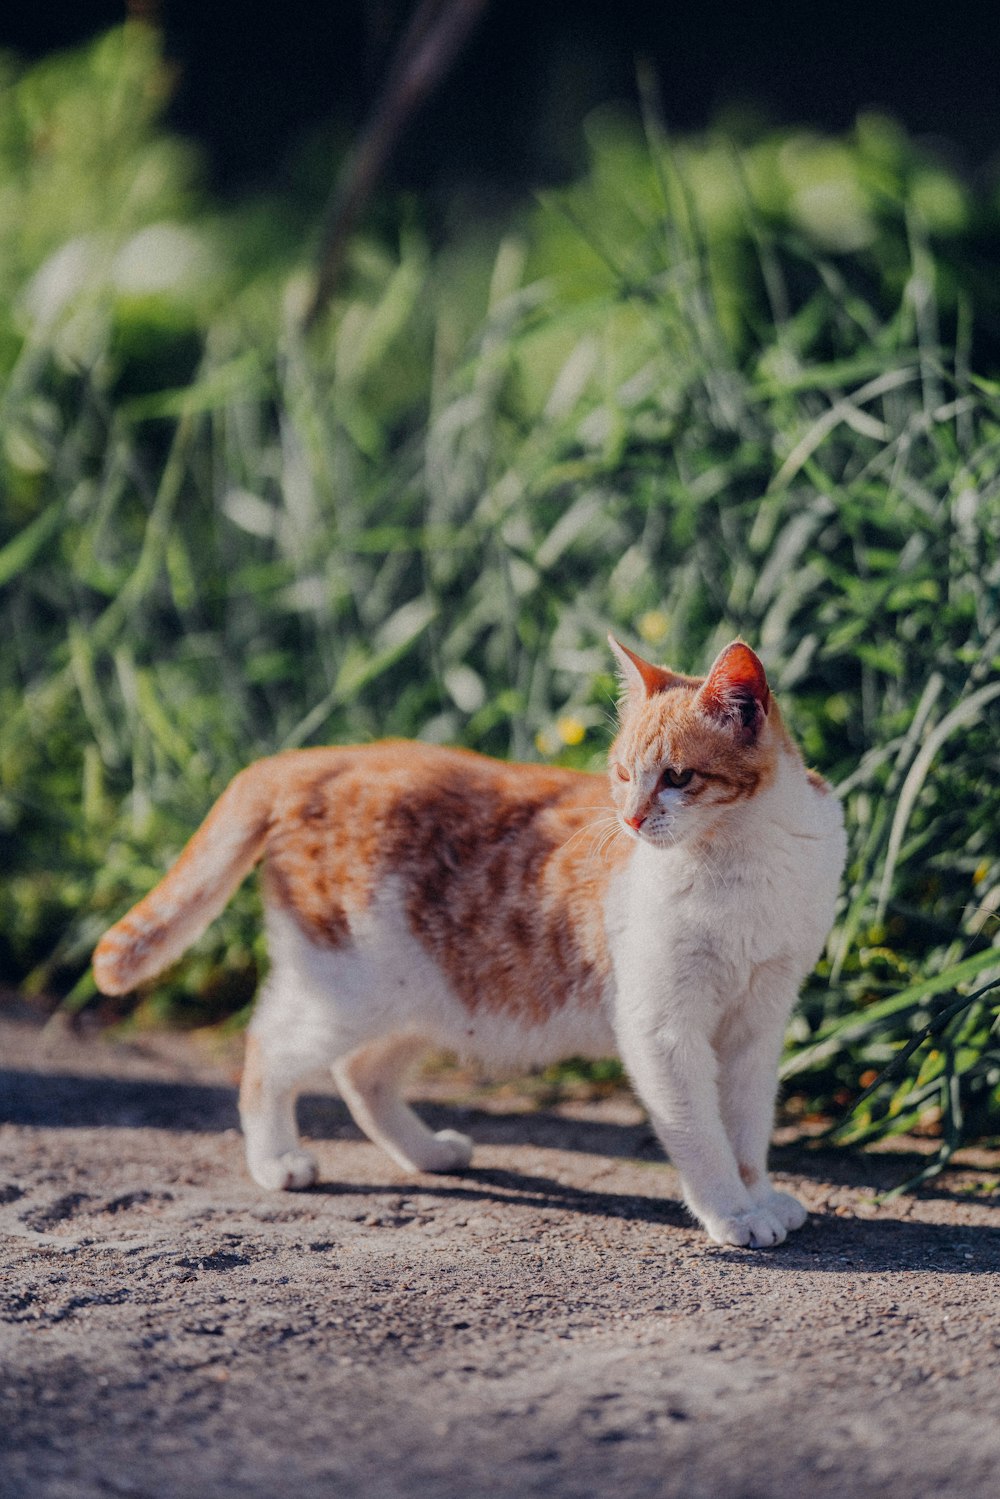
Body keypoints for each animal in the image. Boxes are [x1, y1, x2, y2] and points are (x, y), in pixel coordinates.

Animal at [91, 638, 845, 1247]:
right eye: (624, 774)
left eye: (679, 776)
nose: (630, 820)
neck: (741, 863)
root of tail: (318, 757)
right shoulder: (662, 1029)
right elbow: (704, 1137)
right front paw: (732, 1211)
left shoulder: (757, 1026)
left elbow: (745, 1131)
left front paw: (759, 1195)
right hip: (350, 987)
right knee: (269, 1051)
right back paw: (276, 1158)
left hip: (429, 993)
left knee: (361, 1073)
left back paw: (425, 1151)